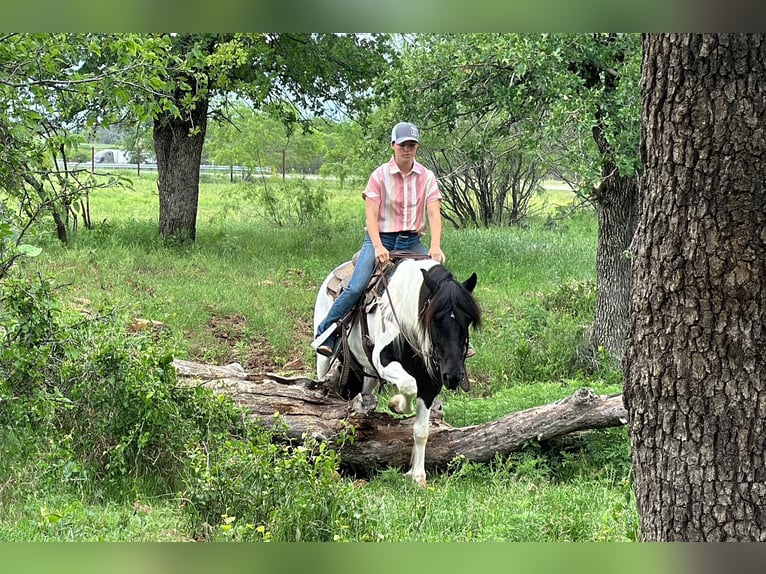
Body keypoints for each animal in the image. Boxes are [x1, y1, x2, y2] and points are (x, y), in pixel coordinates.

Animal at [312, 256, 480, 486]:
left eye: (468, 320)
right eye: (435, 320)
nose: (453, 376)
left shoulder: (431, 382)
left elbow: (421, 430)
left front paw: (417, 476)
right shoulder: (382, 360)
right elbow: (409, 386)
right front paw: (396, 405)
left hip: (367, 373)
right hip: (324, 359)